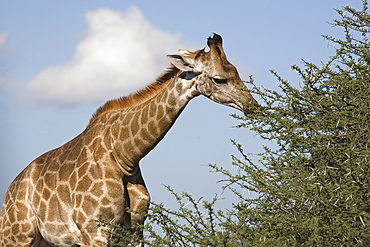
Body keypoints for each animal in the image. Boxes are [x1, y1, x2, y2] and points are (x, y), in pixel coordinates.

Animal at [0, 33, 258, 246]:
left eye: (236, 71)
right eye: (218, 79)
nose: (254, 106)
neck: (125, 155)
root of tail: (10, 192)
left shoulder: (134, 231)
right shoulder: (94, 231)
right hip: (18, 237)